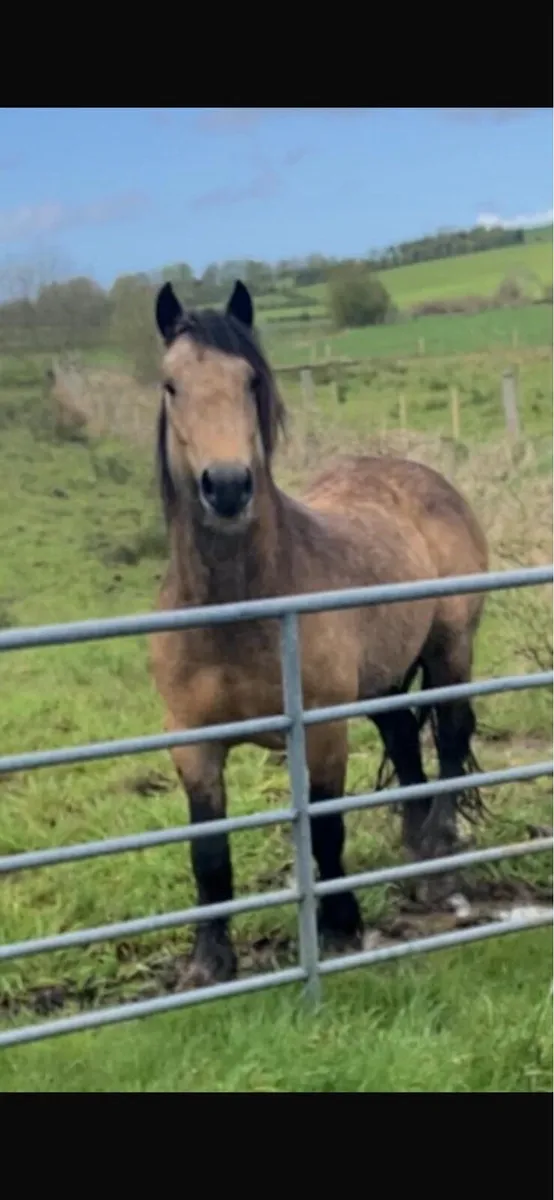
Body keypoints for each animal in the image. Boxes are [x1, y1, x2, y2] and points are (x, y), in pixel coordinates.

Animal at [149, 278, 489, 987]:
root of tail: (424, 476)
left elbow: (327, 829)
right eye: (171, 385)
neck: (237, 614)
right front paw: (209, 960)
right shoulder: (193, 745)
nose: (227, 487)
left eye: (250, 380)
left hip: (451, 648)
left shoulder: (322, 730)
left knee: (448, 738)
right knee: (405, 740)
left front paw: (339, 927)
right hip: (382, 680)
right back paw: (415, 844)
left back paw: (439, 854)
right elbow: (207, 852)